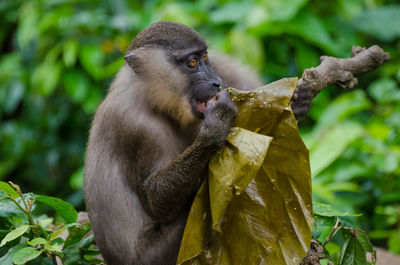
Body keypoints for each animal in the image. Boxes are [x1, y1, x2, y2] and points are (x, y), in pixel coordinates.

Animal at [83, 21, 310, 264]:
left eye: (205, 57)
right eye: (192, 62)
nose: (216, 82)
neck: (150, 98)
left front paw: (298, 102)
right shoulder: (136, 127)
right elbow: (155, 201)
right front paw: (217, 125)